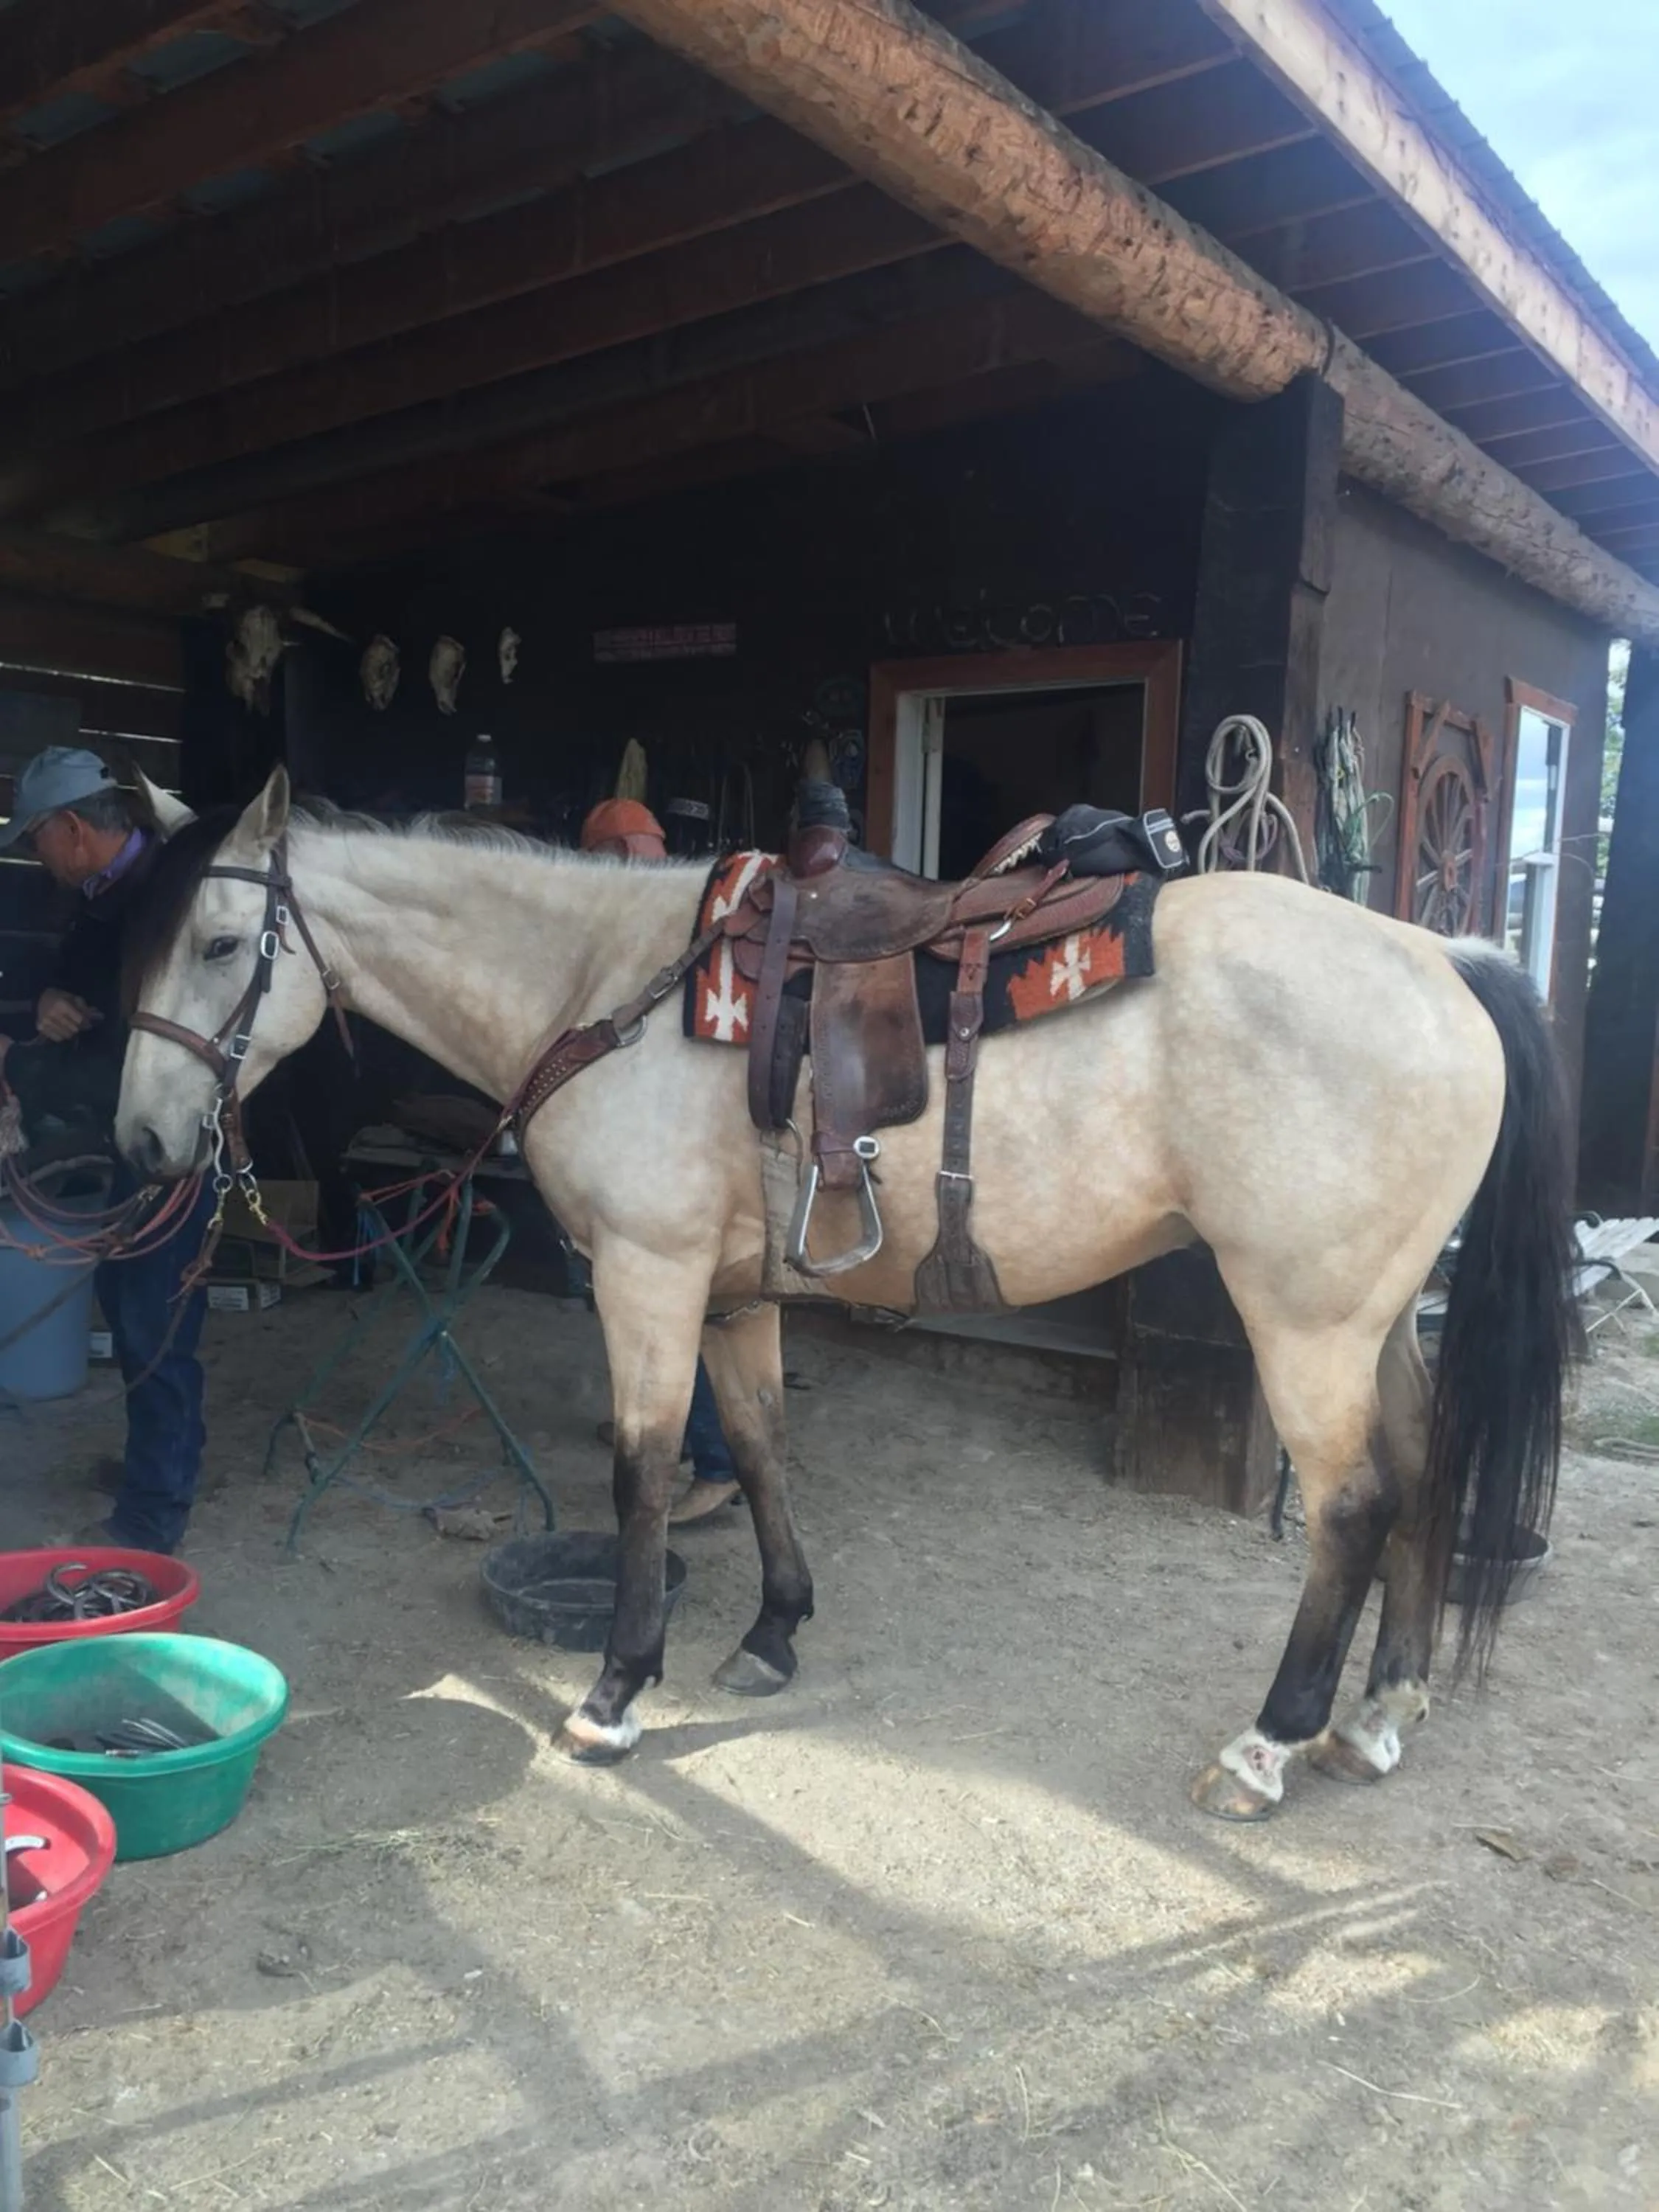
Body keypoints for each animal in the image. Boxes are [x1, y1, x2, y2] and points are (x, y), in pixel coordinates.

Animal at [114, 770, 1575, 1822]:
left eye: (225, 942)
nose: (140, 1140)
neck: (606, 992)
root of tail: (1440, 957)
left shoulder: (646, 1278)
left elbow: (644, 1472)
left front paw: (614, 1693)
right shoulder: (730, 1296)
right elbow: (759, 1448)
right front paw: (773, 1631)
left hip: (1306, 1323)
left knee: (1352, 1506)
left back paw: (1268, 1746)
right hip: (1376, 1322)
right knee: (1425, 1467)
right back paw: (1376, 1718)